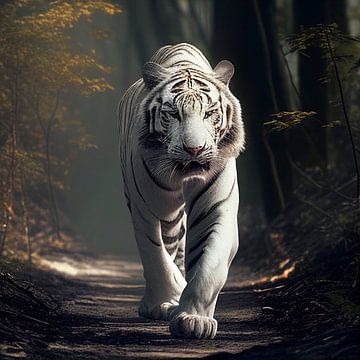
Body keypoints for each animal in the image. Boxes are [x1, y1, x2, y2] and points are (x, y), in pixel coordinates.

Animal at [117, 43, 245, 338]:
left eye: (209, 113)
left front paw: (193, 319)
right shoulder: (146, 208)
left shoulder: (216, 207)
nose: (194, 150)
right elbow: (155, 256)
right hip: (164, 210)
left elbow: (209, 264)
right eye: (172, 113)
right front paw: (165, 300)